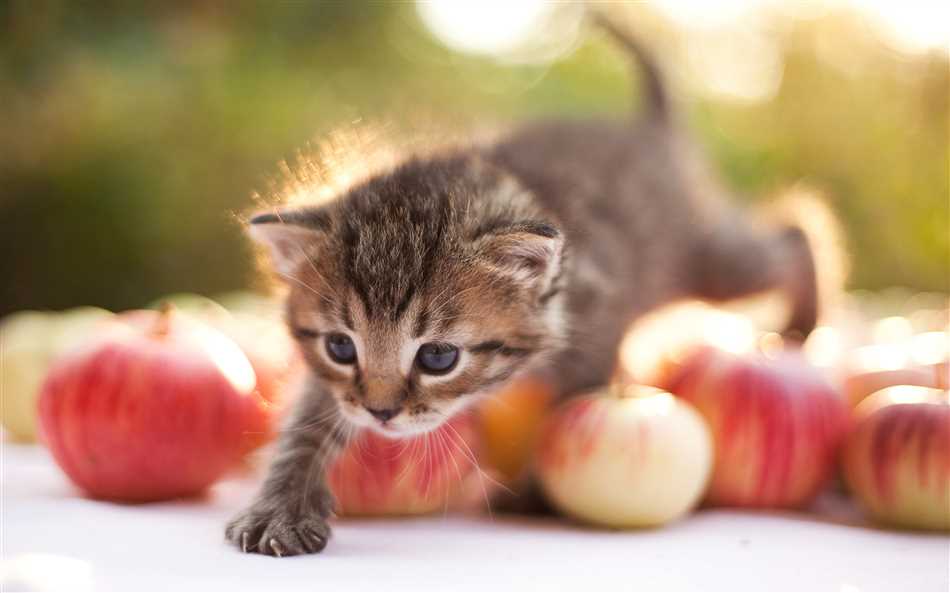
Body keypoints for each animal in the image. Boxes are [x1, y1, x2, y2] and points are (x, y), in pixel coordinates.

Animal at [227, 18, 820, 556]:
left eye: (438, 357)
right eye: (340, 347)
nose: (380, 414)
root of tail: (650, 129)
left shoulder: (599, 325)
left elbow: (566, 407)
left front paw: (536, 492)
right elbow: (308, 420)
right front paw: (279, 506)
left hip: (708, 262)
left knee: (790, 234)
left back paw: (802, 322)